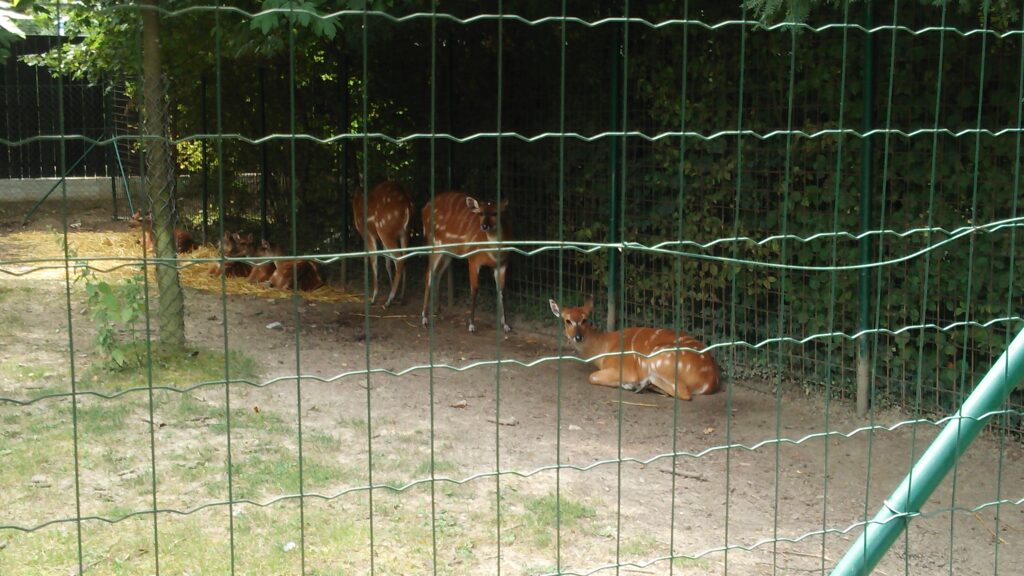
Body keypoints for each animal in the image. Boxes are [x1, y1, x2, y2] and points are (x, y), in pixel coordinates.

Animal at [417, 190, 509, 332]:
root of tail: (424, 208)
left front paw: (505, 325)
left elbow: (501, 290)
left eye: (495, 213)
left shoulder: (503, 264)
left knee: (438, 274)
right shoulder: (473, 260)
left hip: (447, 253)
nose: (484, 226)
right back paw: (424, 319)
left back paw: (439, 313)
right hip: (434, 245)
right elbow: (474, 289)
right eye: (481, 213)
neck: (494, 253)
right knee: (428, 274)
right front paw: (471, 325)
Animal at [552, 295, 720, 399]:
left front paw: (630, 384)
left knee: (683, 392)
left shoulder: (624, 368)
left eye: (585, 319)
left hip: (660, 358)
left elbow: (592, 377)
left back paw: (638, 385)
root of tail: (709, 382)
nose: (578, 337)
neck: (603, 348)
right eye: (567, 320)